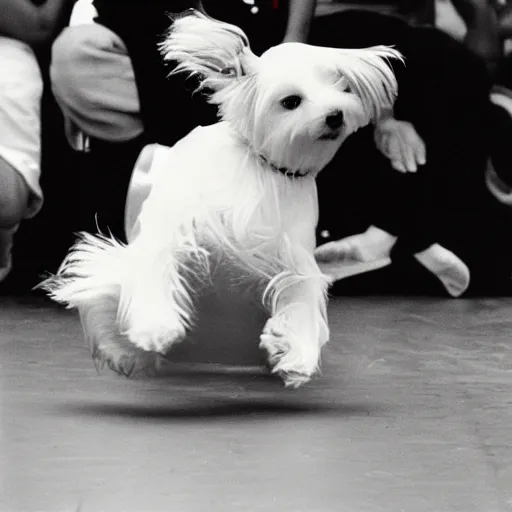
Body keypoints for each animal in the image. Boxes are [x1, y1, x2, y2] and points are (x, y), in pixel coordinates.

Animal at [42, 9, 402, 388]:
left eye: (340, 87)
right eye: (291, 101)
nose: (335, 114)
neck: (261, 169)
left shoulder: (294, 260)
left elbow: (300, 303)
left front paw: (294, 352)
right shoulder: (179, 230)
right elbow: (158, 268)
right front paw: (155, 326)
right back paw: (126, 352)